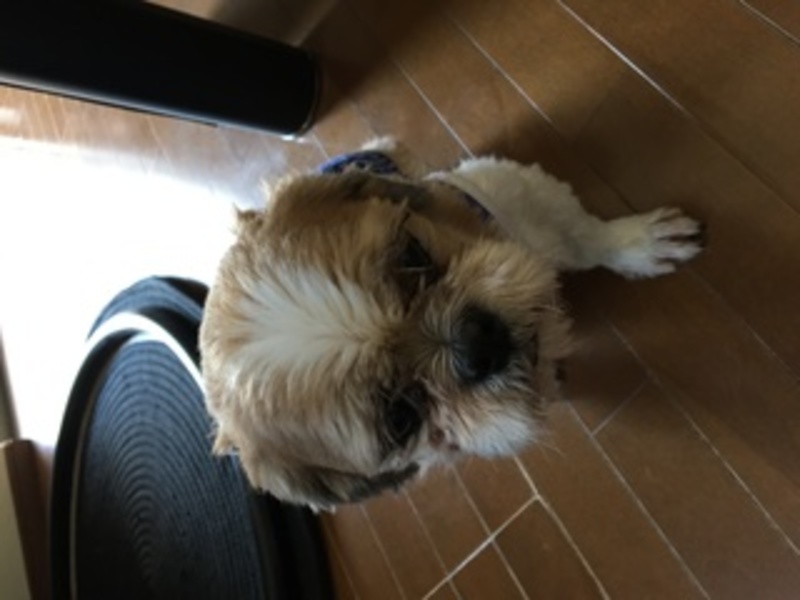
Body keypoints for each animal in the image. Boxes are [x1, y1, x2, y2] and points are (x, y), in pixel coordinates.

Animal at [199, 138, 704, 510]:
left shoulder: (518, 193)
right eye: (400, 418)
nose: (475, 345)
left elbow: (585, 235)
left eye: (411, 254)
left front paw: (637, 243)